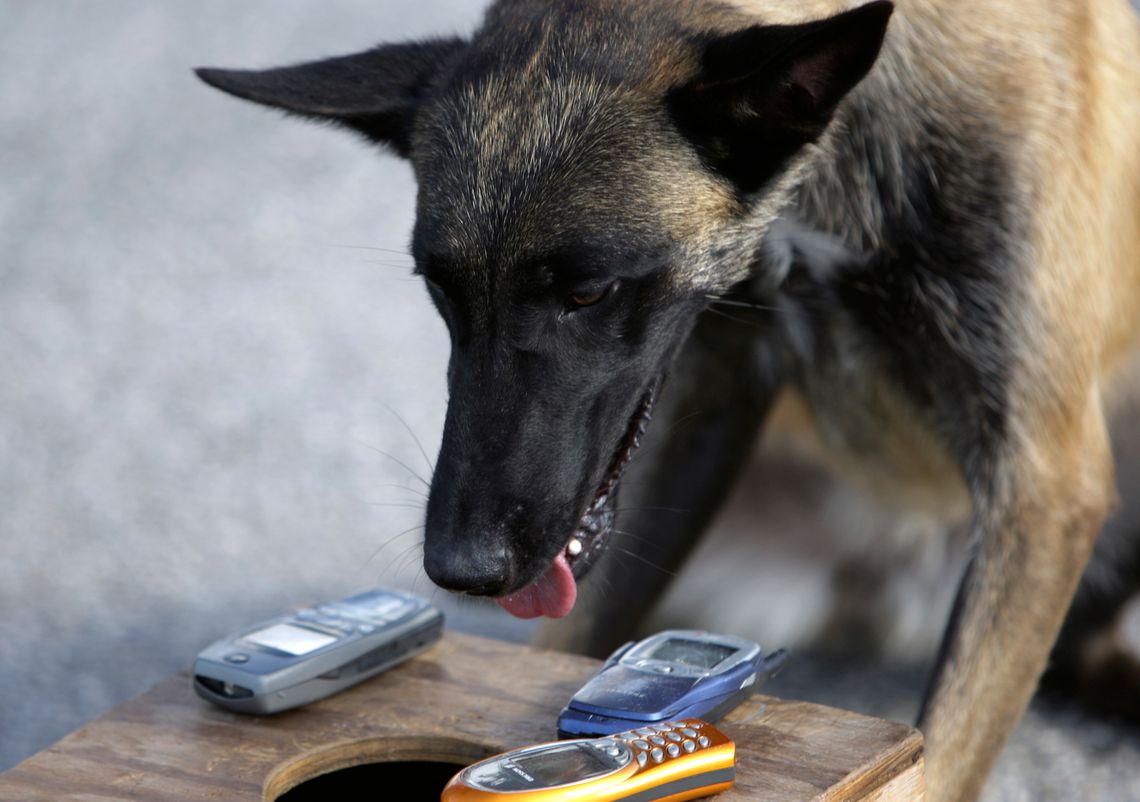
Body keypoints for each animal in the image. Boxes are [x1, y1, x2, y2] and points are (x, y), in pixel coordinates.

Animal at [196, 3, 1140, 797]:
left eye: (586, 291)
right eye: (441, 289)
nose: (461, 569)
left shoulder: (1043, 489)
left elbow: (933, 764)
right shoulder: (706, 401)